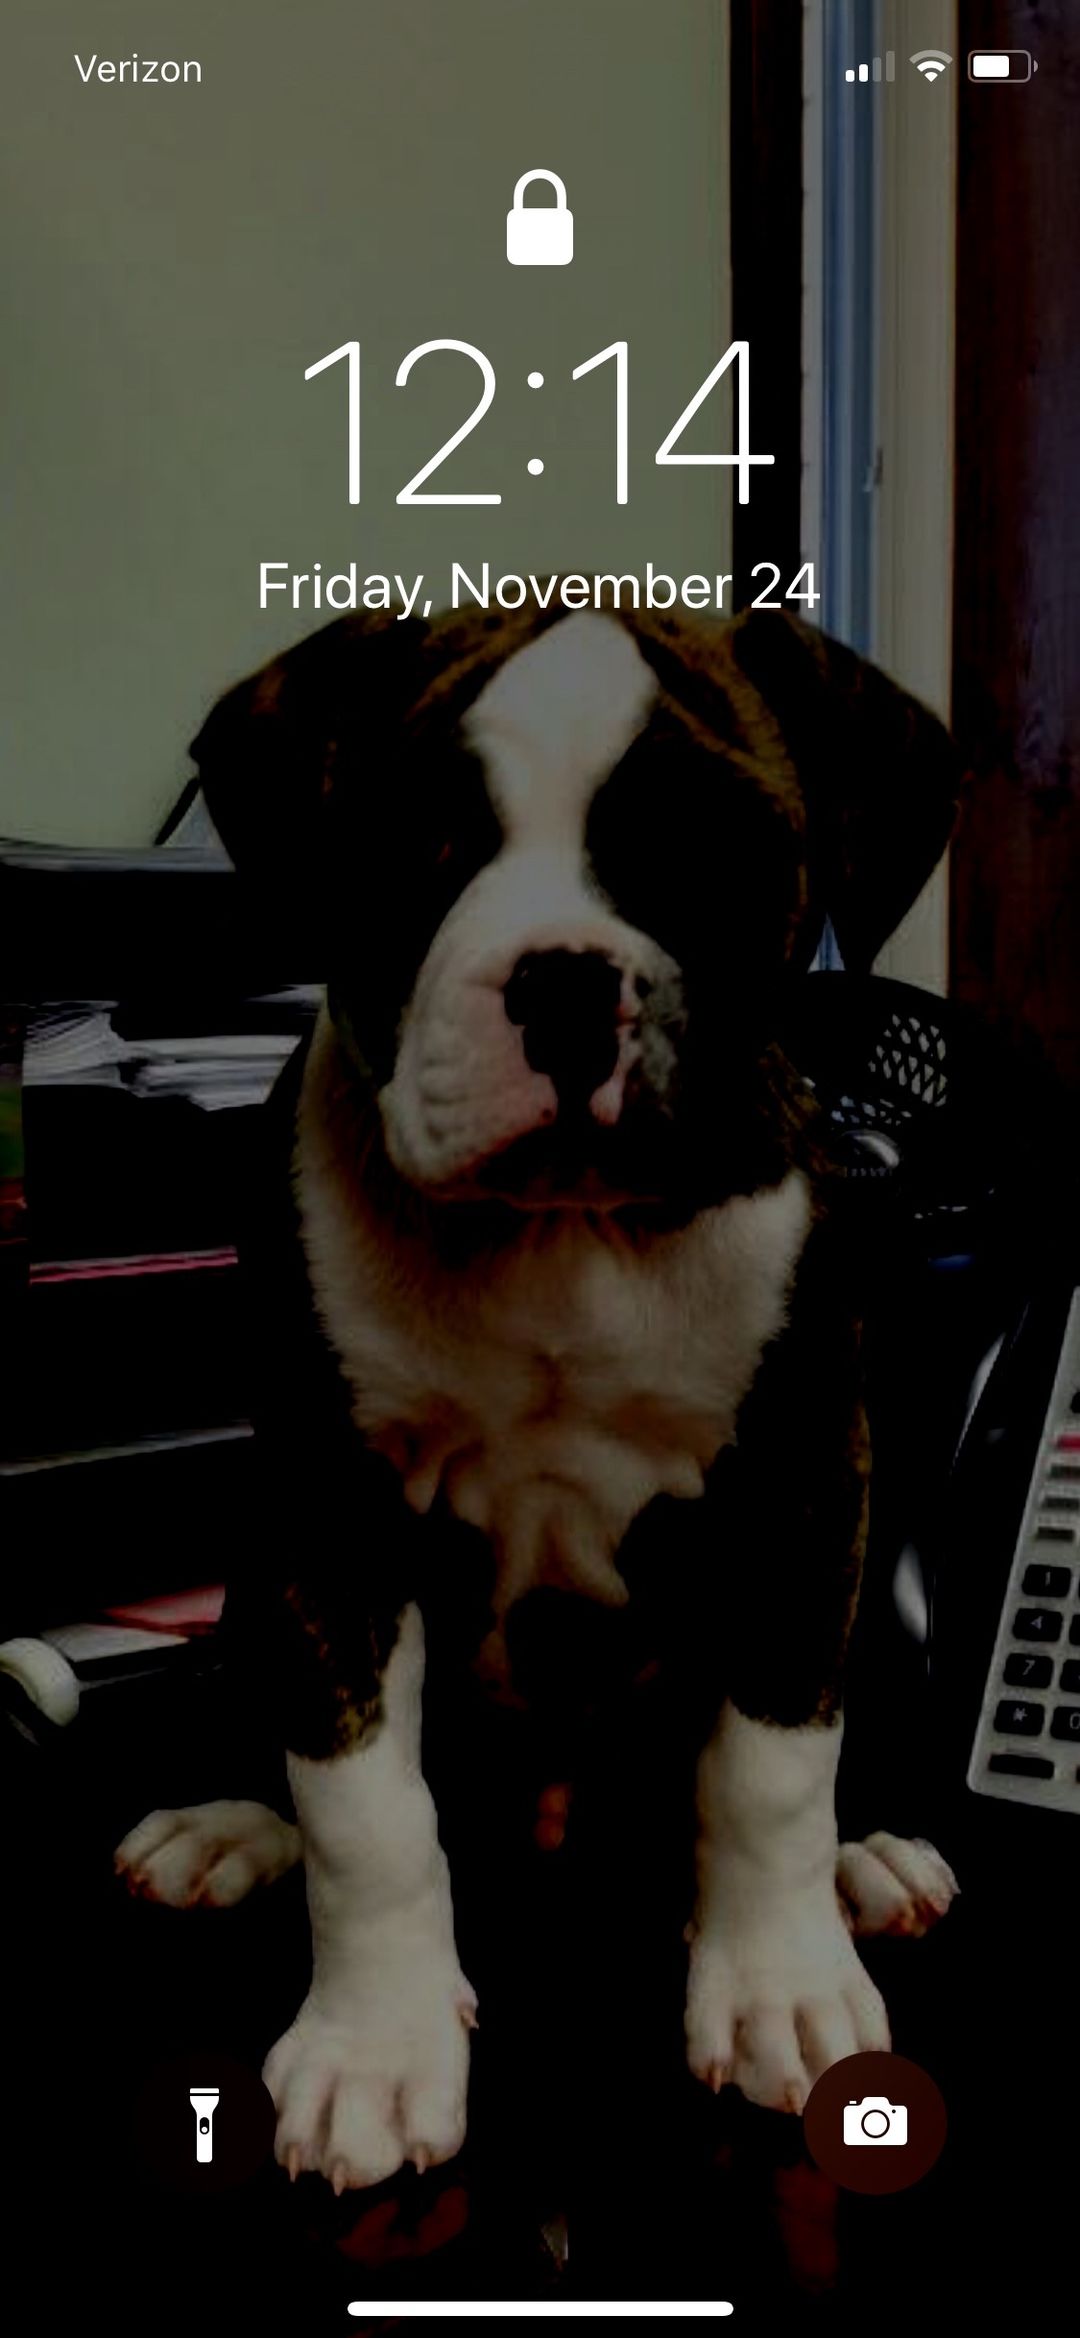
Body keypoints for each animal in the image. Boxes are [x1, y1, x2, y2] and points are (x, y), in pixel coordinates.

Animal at [116, 597, 962, 2196]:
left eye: (716, 850)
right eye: (421, 847)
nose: (566, 980)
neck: (566, 1239)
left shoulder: (802, 1473)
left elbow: (771, 1762)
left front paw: (778, 1978)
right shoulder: (328, 1507)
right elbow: (364, 1806)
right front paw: (376, 2049)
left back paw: (863, 1863)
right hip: (257, 1581)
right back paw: (227, 1823)